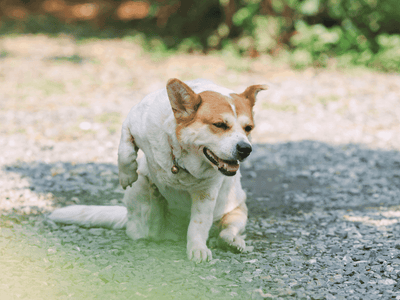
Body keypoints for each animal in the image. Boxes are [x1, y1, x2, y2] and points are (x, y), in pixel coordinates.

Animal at [49, 78, 266, 262]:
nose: (245, 149)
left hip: (238, 213)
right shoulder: (131, 122)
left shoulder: (206, 194)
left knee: (226, 231)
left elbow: (199, 224)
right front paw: (127, 172)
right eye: (219, 125)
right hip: (138, 195)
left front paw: (197, 249)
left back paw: (232, 241)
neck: (181, 161)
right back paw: (153, 194)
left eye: (248, 128)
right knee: (149, 228)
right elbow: (124, 148)